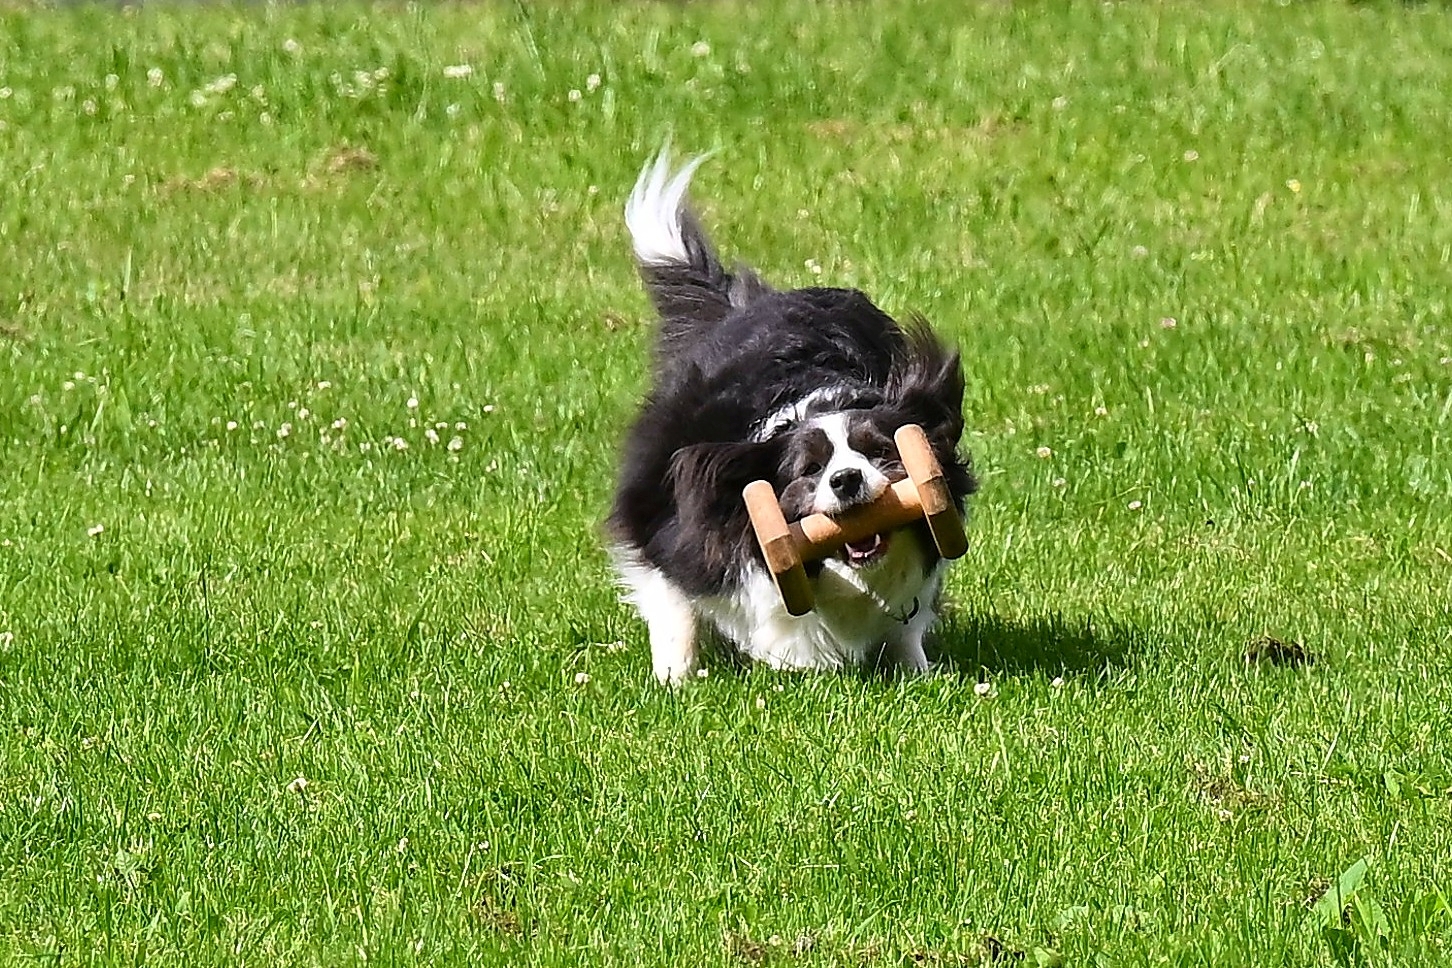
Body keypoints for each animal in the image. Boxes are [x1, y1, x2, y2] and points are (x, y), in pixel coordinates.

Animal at [601, 151, 975, 685]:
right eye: (810, 470)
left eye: (879, 453)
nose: (846, 480)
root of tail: (742, 305)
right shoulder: (669, 522)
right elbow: (677, 598)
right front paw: (683, 676)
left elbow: (907, 627)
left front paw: (918, 673)